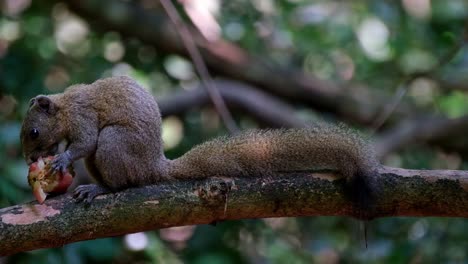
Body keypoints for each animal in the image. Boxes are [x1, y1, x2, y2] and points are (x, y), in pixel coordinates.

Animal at [20, 76, 382, 219]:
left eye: (34, 132)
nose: (30, 159)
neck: (65, 107)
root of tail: (155, 166)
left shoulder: (83, 117)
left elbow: (85, 143)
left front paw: (62, 160)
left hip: (113, 144)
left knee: (124, 183)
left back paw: (101, 189)